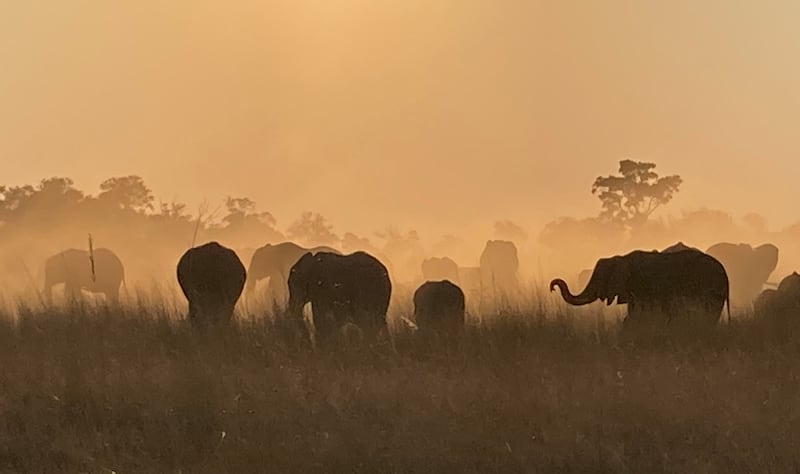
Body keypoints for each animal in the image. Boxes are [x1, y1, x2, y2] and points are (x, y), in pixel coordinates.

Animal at [552, 250, 732, 332]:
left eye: (601, 279)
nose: (552, 286)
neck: (621, 258)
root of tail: (725, 273)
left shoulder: (640, 287)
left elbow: (636, 315)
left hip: (710, 289)